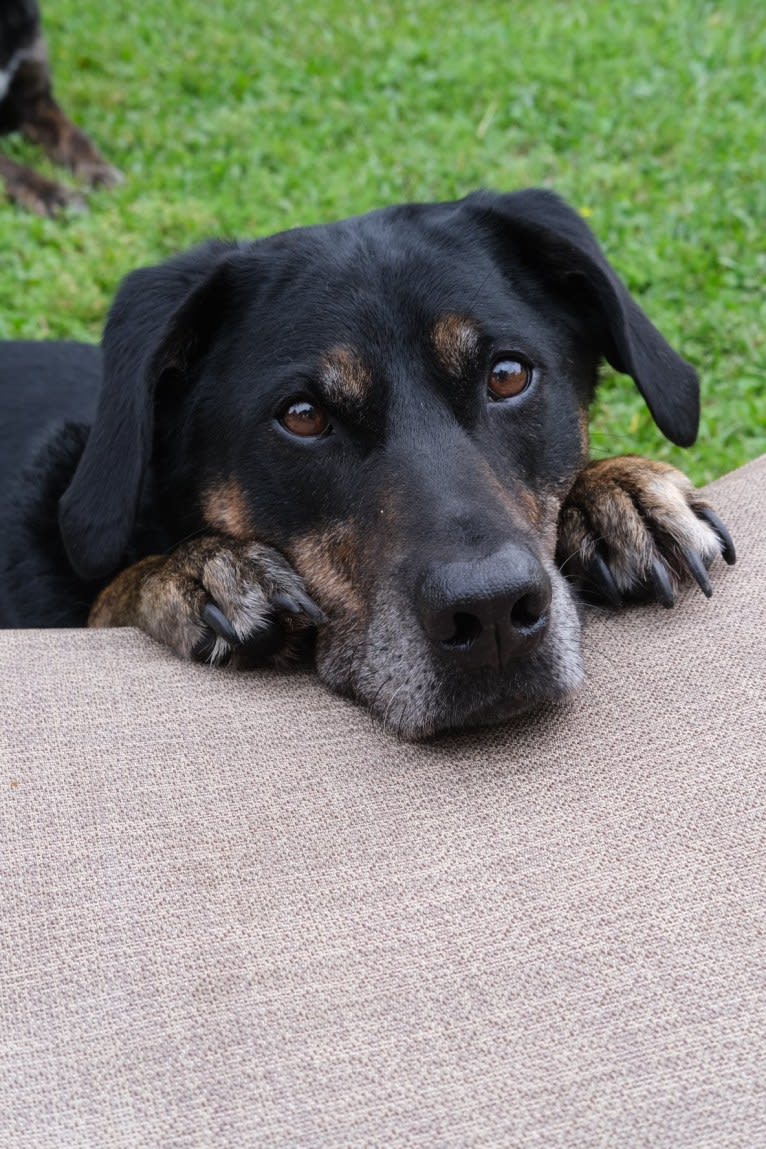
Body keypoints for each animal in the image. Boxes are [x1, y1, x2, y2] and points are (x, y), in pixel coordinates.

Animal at [0, 190, 734, 735]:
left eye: (507, 375)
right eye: (302, 416)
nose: (492, 614)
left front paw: (616, 493)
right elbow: (111, 592)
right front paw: (194, 571)